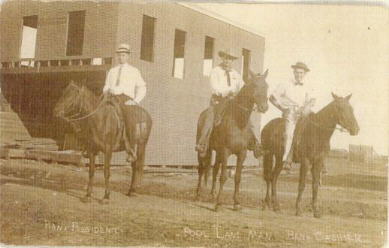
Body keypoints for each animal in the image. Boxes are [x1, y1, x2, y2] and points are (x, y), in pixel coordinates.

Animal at [196, 70, 268, 211]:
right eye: (255, 85)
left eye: (266, 86)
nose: (264, 107)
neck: (238, 121)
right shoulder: (226, 151)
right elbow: (223, 176)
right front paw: (218, 204)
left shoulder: (242, 153)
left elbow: (237, 177)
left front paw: (236, 203)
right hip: (204, 150)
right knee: (201, 169)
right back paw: (198, 194)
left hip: (217, 152)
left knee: (214, 170)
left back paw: (212, 194)